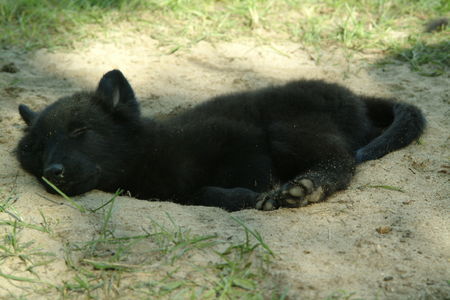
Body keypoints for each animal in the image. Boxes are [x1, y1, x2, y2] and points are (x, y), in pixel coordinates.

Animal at [16, 70, 426, 211]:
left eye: (79, 131)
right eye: (35, 149)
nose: (53, 172)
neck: (149, 153)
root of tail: (355, 96)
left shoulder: (241, 139)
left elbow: (248, 180)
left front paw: (257, 196)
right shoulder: (173, 193)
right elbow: (200, 194)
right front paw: (242, 198)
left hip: (291, 130)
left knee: (342, 161)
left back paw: (305, 187)